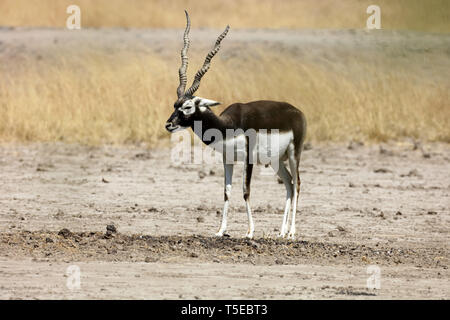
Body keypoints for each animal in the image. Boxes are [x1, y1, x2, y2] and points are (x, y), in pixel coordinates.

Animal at [167, 11, 308, 239]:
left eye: (188, 106)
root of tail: (298, 112)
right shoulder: (228, 159)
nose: (169, 124)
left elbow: (245, 190)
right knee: (289, 183)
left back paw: (292, 232)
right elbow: (227, 191)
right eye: (175, 105)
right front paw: (220, 230)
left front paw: (250, 232)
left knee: (298, 184)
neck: (228, 127)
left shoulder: (248, 158)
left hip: (295, 154)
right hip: (276, 160)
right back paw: (281, 232)